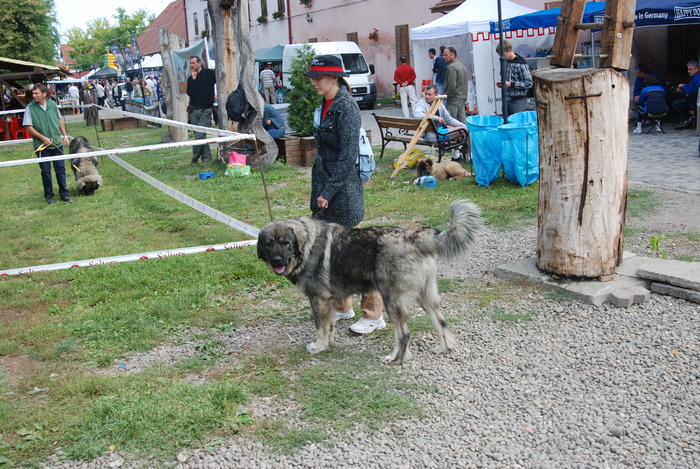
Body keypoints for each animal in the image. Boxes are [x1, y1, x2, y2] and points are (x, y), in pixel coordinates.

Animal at [258, 199, 482, 364]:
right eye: (269, 244)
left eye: (286, 243)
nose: (277, 261)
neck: (307, 247)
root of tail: (413, 236)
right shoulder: (328, 302)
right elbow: (330, 325)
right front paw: (328, 344)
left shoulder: (318, 299)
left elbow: (320, 327)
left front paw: (318, 347)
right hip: (425, 297)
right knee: (440, 322)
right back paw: (444, 348)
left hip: (392, 300)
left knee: (404, 333)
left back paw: (396, 359)